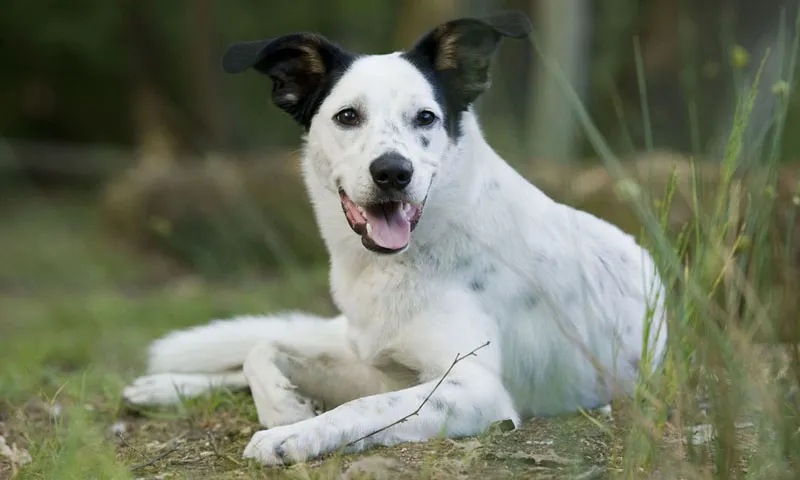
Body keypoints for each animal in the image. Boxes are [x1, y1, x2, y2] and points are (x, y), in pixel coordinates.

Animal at [120, 11, 668, 466]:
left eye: (425, 117)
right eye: (347, 116)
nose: (392, 173)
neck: (395, 262)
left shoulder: (473, 388)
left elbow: (363, 407)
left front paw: (290, 434)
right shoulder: (381, 365)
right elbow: (264, 350)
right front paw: (284, 408)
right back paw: (159, 387)